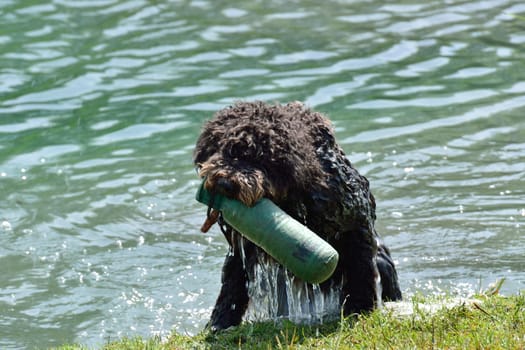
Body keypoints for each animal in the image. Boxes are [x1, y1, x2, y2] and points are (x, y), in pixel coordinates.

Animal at [193, 101, 402, 330]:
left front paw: (360, 308)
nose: (225, 184)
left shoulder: (355, 223)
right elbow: (233, 282)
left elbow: (361, 270)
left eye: (259, 158)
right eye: (225, 149)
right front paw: (219, 323)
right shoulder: (241, 245)